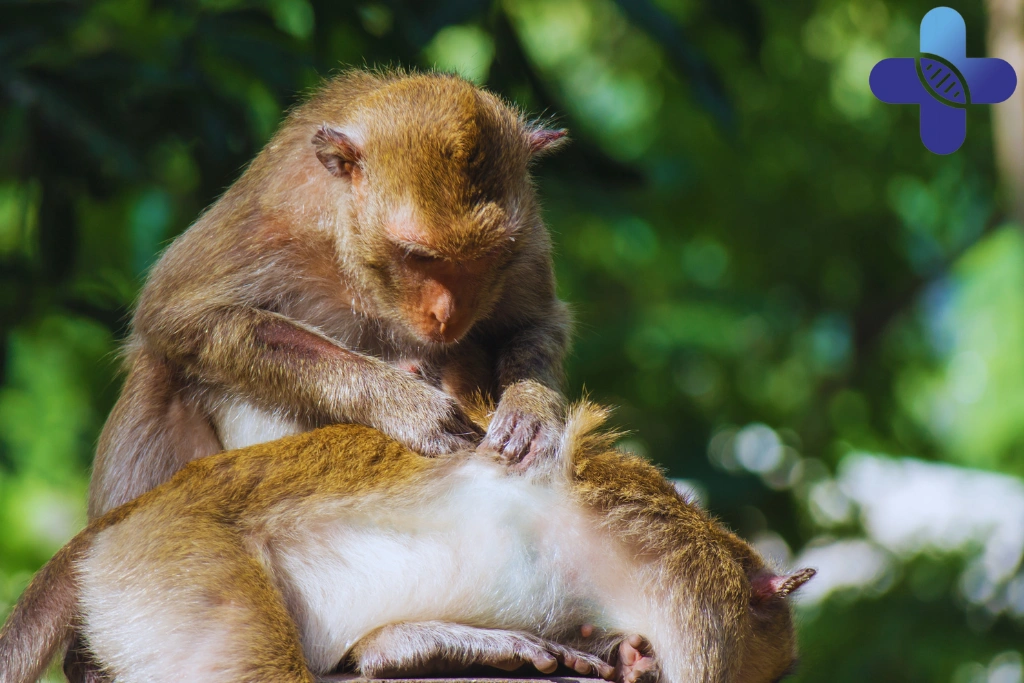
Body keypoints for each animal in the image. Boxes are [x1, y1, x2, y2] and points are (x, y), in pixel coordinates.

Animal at [88, 68, 573, 521]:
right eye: (418, 256)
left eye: (489, 256)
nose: (447, 314)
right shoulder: (272, 222)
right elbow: (178, 315)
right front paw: (405, 403)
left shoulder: (529, 241)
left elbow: (534, 324)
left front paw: (530, 411)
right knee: (158, 371)